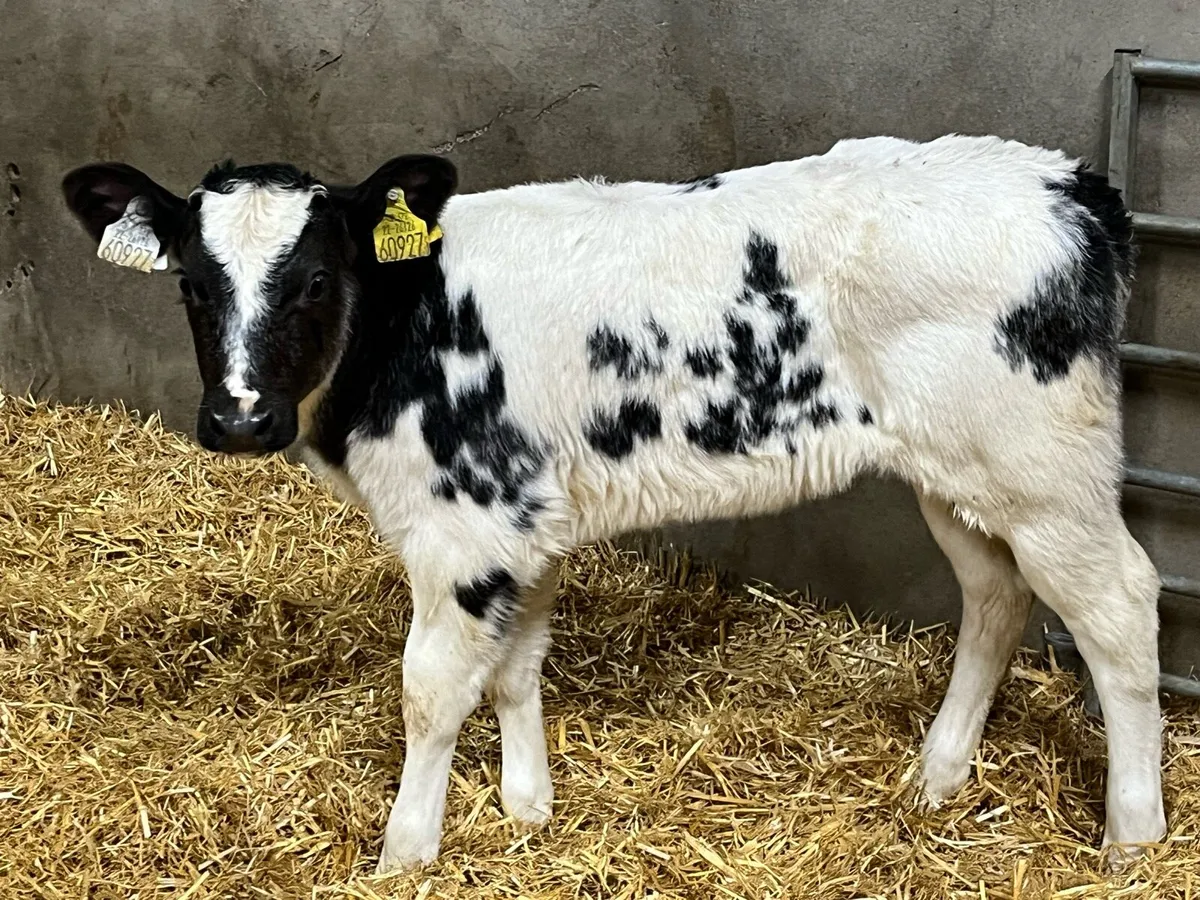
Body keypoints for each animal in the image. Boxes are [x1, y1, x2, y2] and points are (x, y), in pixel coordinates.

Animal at [62, 133, 1166, 873]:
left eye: (319, 279)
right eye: (193, 287)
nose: (240, 419)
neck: (405, 328)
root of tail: (1072, 182)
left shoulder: (464, 529)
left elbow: (431, 692)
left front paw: (404, 853)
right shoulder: (525, 523)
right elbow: (515, 669)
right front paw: (527, 810)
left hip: (1045, 471)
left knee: (1120, 608)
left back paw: (1133, 836)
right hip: (958, 472)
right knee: (996, 598)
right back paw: (937, 780)